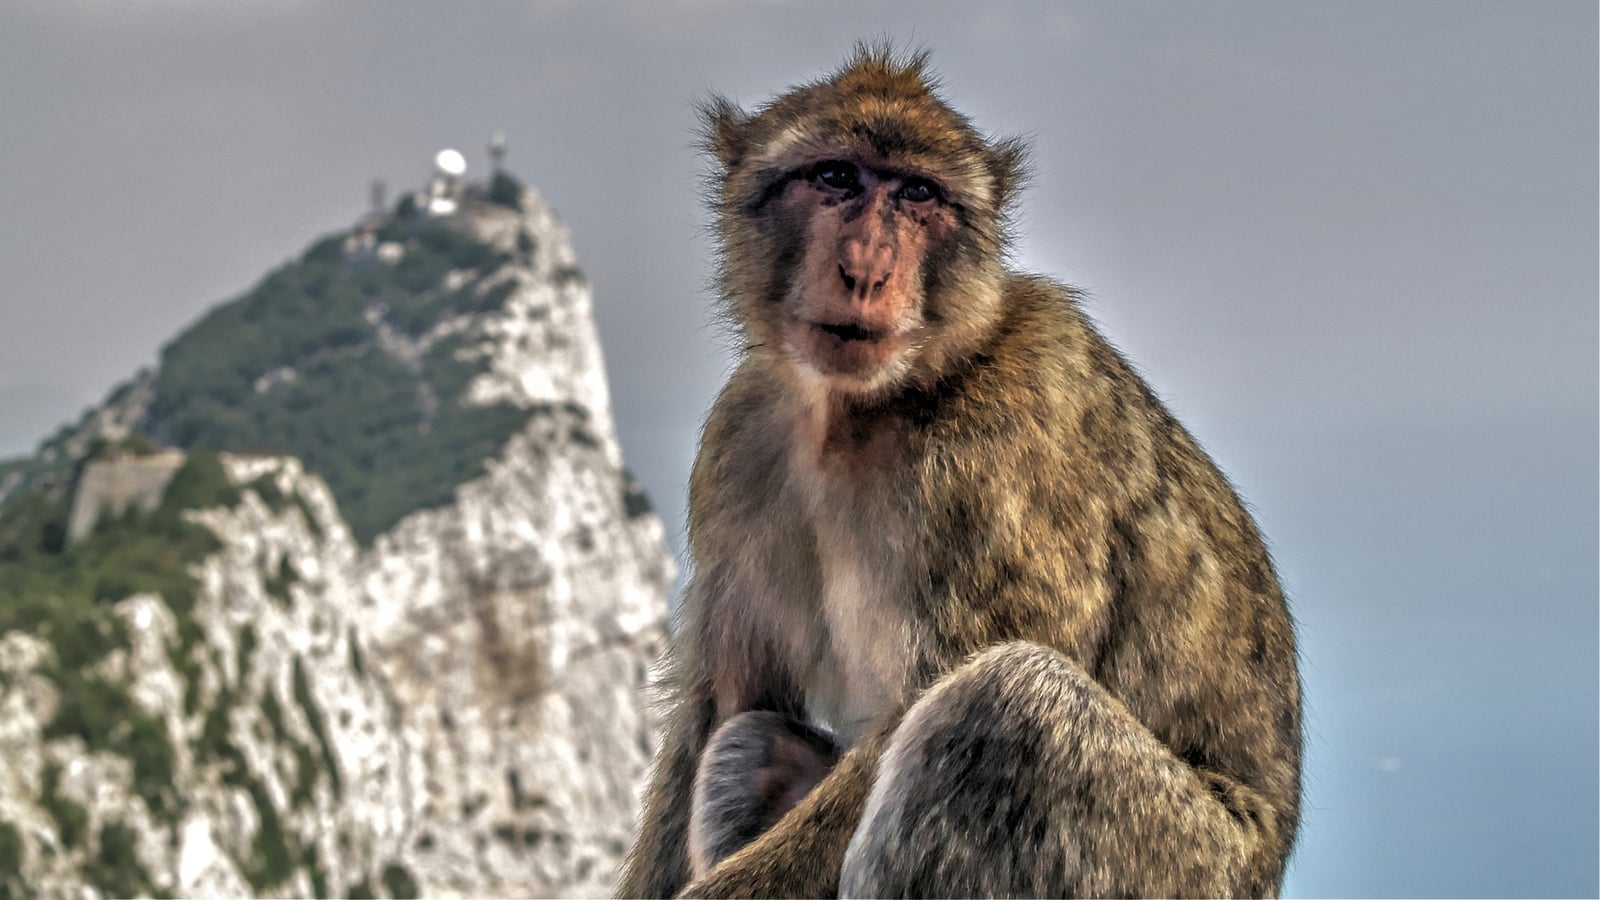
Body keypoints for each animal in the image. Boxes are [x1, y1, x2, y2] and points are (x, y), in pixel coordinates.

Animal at [618, 45, 1302, 899]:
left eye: (917, 193)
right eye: (835, 177)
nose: (866, 268)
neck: (870, 410)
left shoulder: (997, 460)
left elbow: (946, 693)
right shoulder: (739, 441)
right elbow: (725, 705)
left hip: (1171, 863)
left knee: (1003, 706)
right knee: (750, 747)